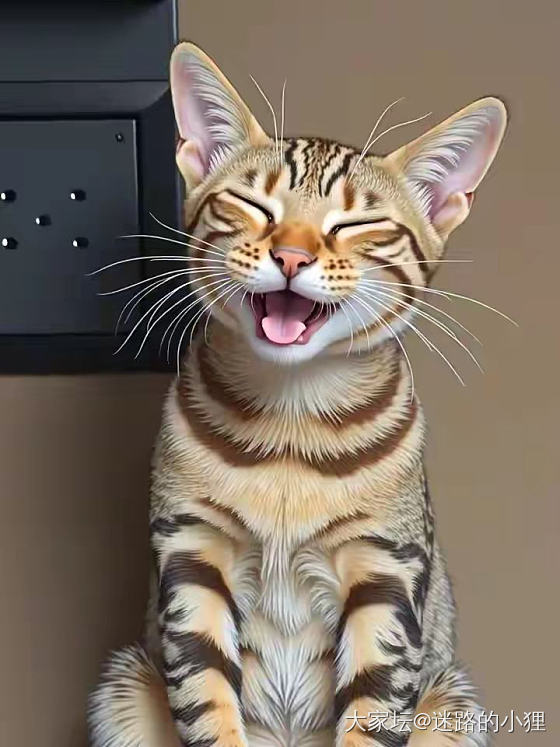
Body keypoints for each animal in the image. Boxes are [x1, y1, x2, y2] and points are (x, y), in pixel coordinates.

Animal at [89, 41, 507, 747]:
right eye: (254, 207)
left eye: (358, 224)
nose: (290, 256)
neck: (291, 426)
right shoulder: (192, 555)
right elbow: (207, 704)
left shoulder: (386, 573)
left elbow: (372, 714)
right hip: (124, 685)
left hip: (453, 703)